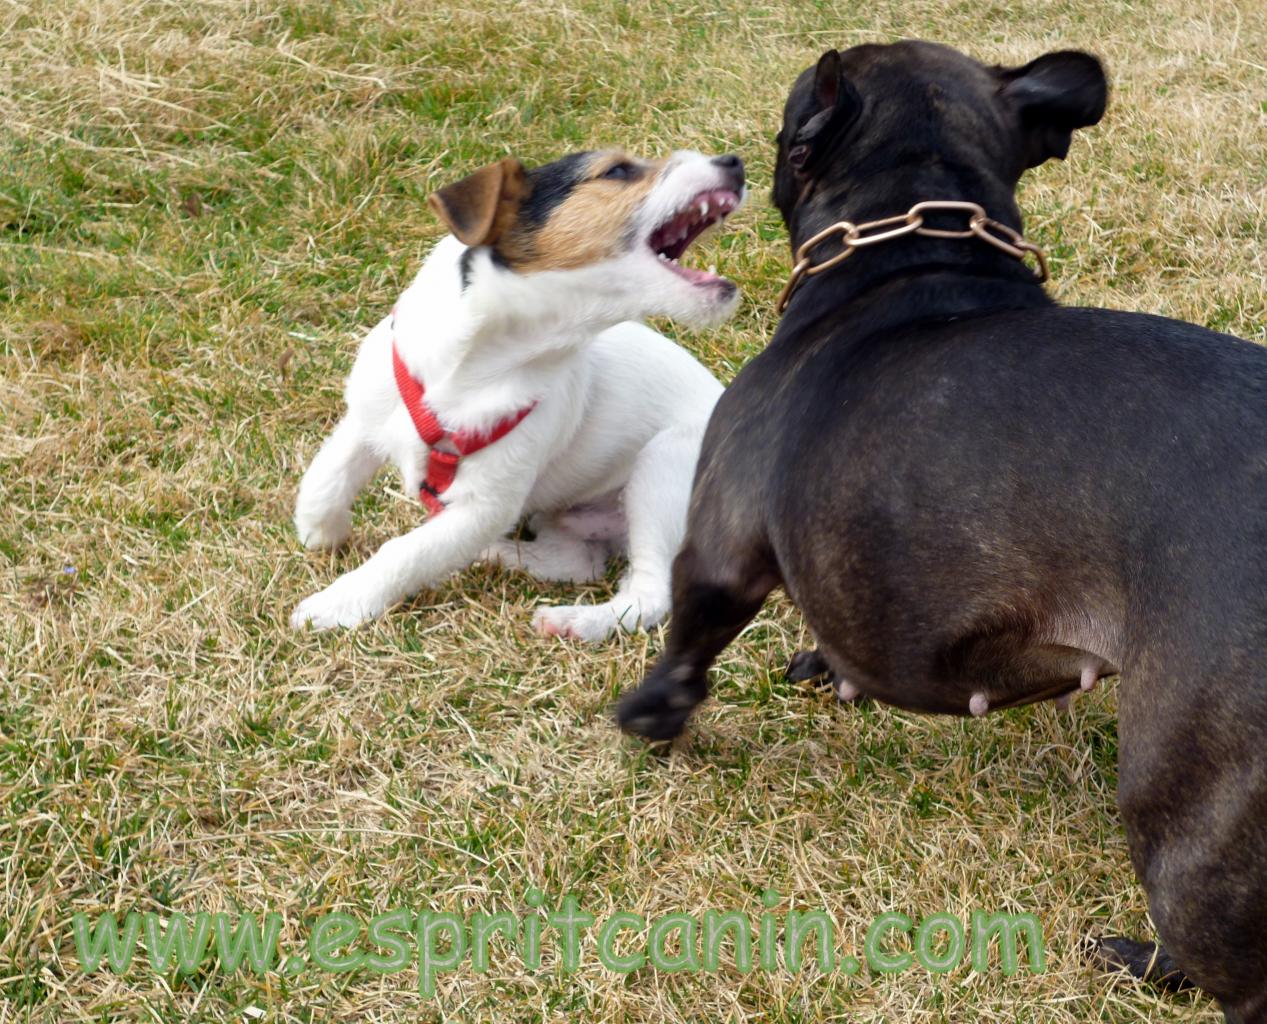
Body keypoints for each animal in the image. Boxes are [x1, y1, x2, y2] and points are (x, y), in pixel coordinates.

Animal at [290, 145, 739, 638]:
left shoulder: (486, 505)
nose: (735, 163)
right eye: (618, 170)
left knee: (649, 594)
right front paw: (321, 532)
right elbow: (324, 477)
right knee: (578, 562)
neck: (482, 360)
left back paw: (575, 621)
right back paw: (501, 555)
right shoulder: (369, 411)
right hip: (565, 514)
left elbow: (405, 553)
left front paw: (337, 602)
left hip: (662, 468)